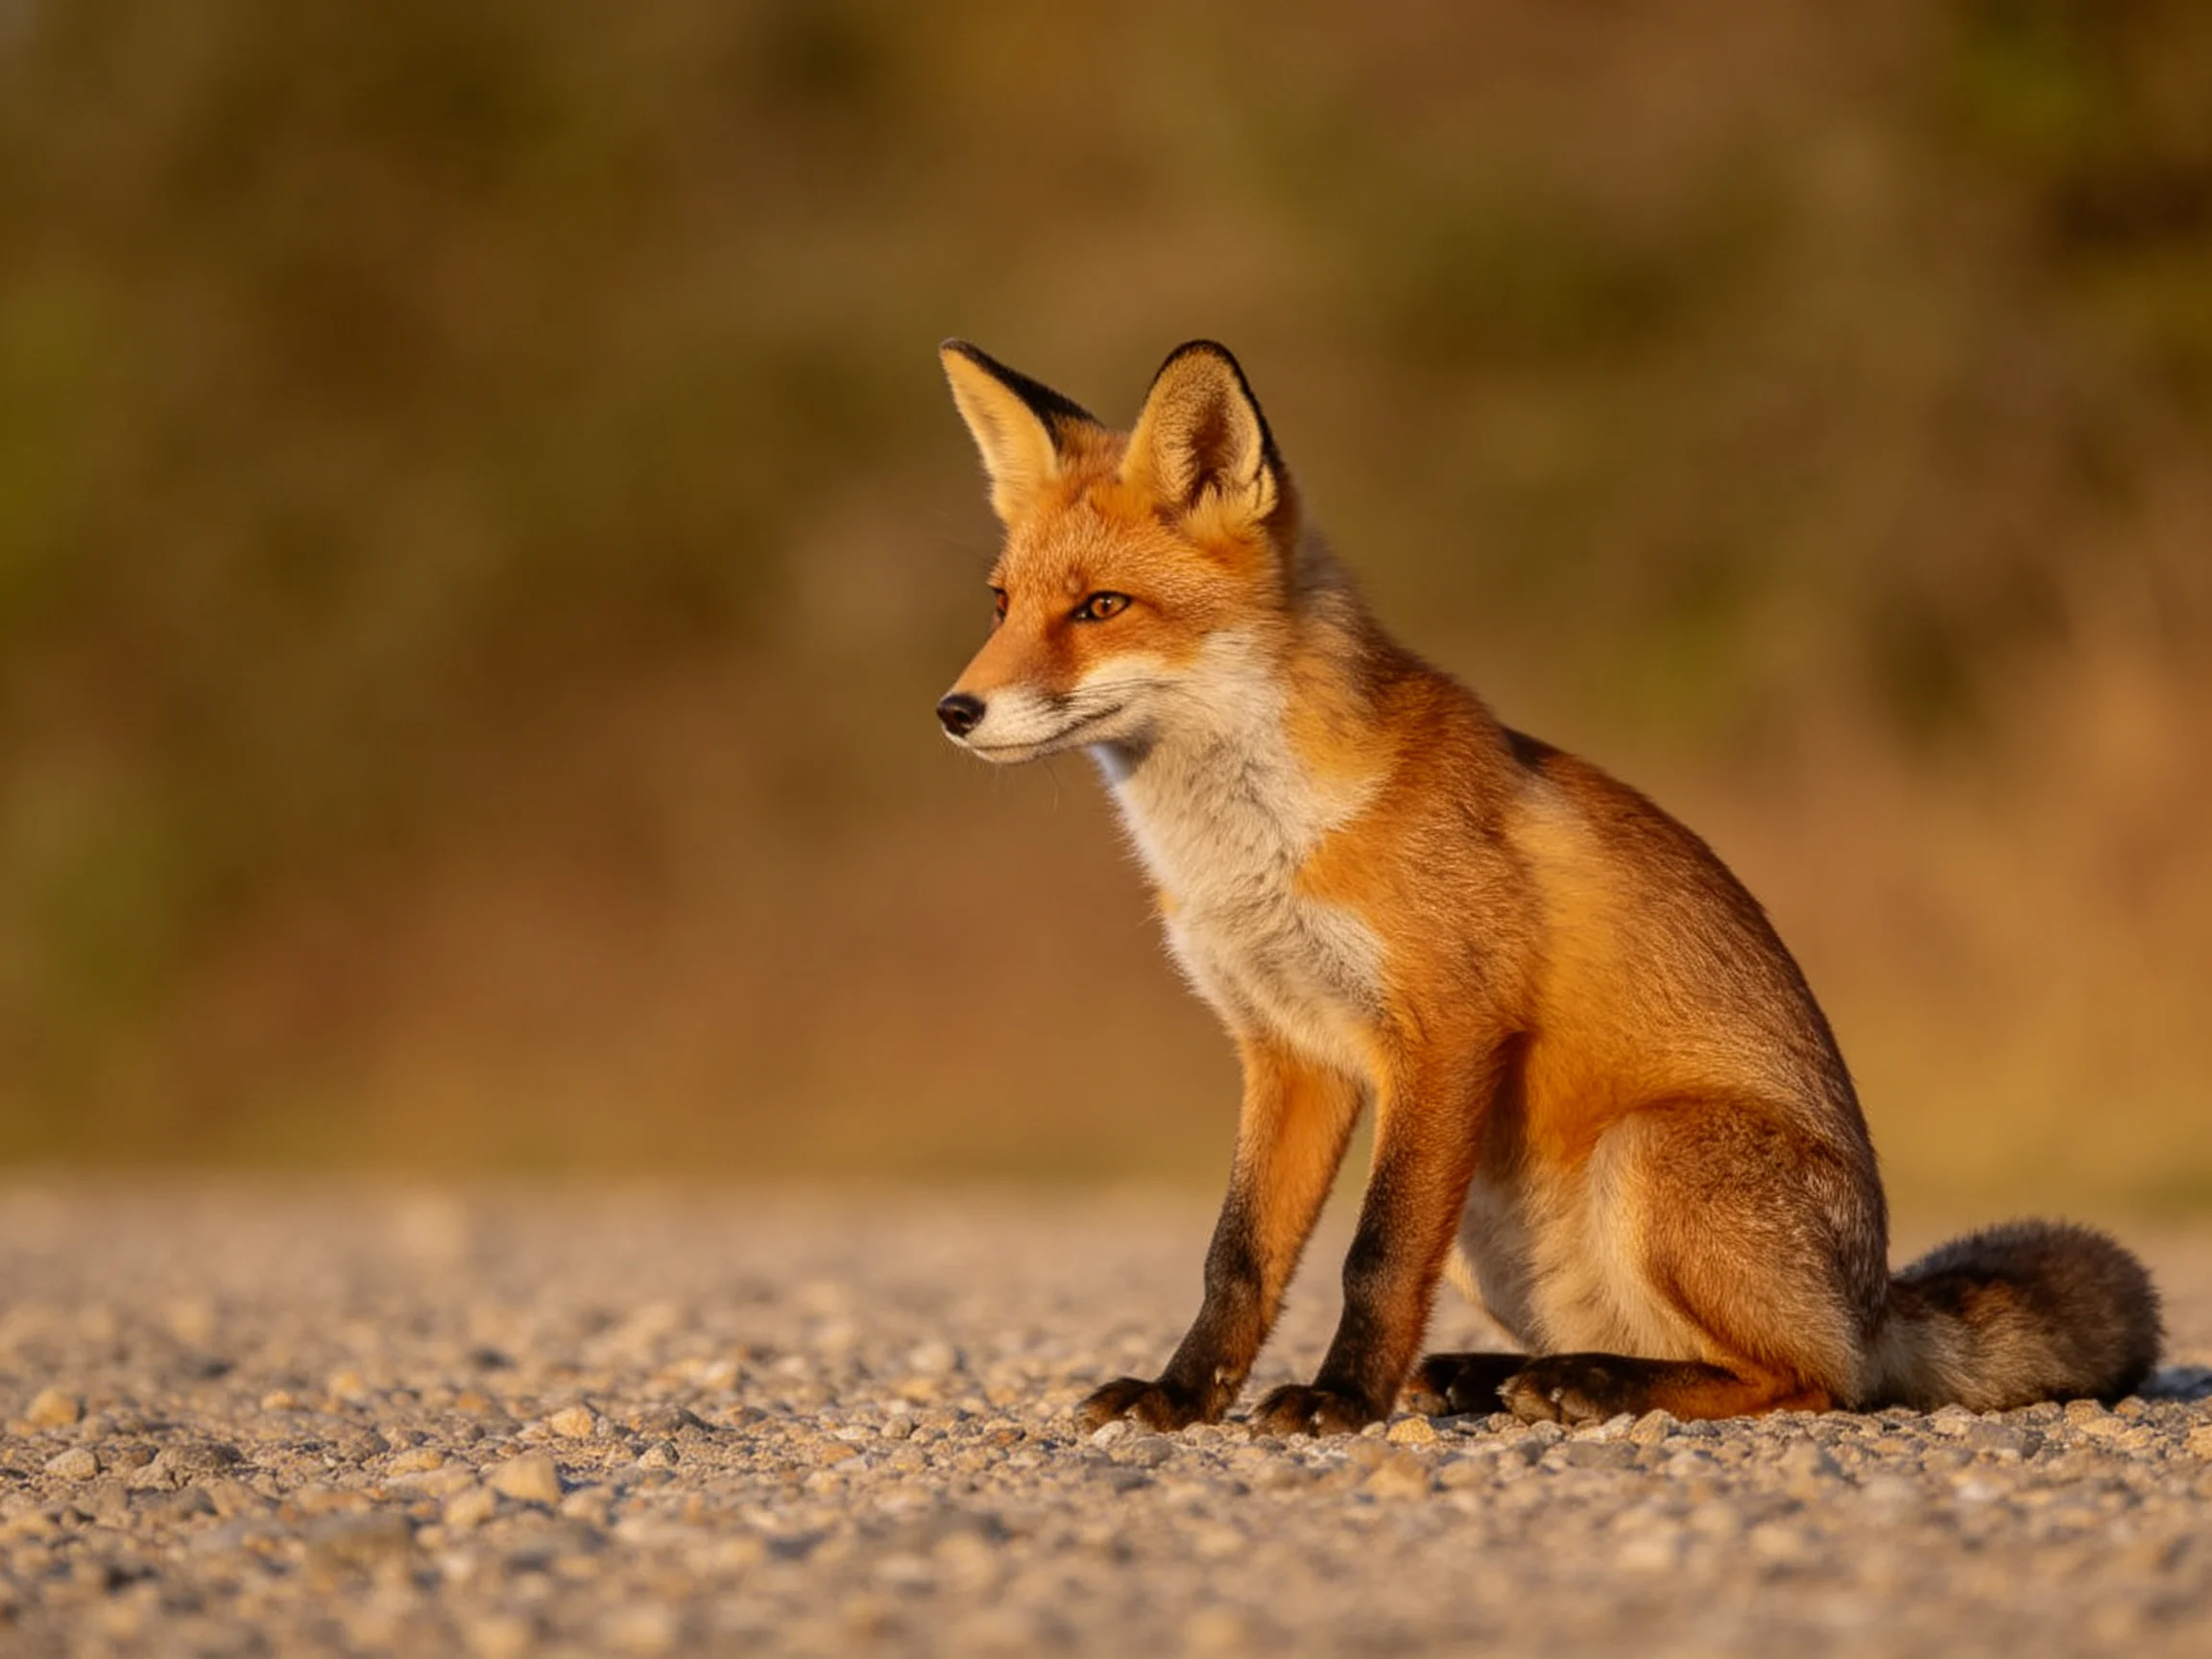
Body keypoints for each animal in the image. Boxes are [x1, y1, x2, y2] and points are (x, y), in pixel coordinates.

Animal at [932, 337, 2162, 1434]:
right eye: (999, 604)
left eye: (1101, 608)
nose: (955, 710)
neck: (1255, 848)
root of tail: (1876, 1303)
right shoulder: (1289, 1053)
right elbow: (1237, 1258)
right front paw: (1182, 1398)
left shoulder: (1445, 1029)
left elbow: (1375, 1253)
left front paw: (1340, 1402)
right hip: (1492, 1229)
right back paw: (1507, 1376)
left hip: (1648, 1156)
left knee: (1809, 1381)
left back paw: (1592, 1388)